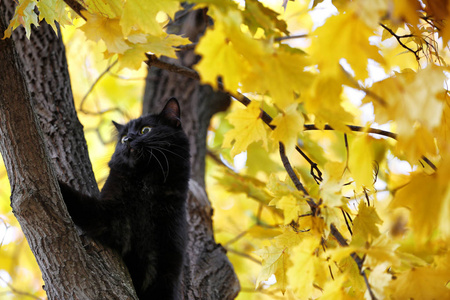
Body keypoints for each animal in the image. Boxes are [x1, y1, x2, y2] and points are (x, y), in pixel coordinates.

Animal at [58, 99, 190, 300]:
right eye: (123, 138)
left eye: (145, 130)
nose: (128, 140)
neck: (146, 188)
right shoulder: (109, 217)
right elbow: (78, 202)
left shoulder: (168, 263)